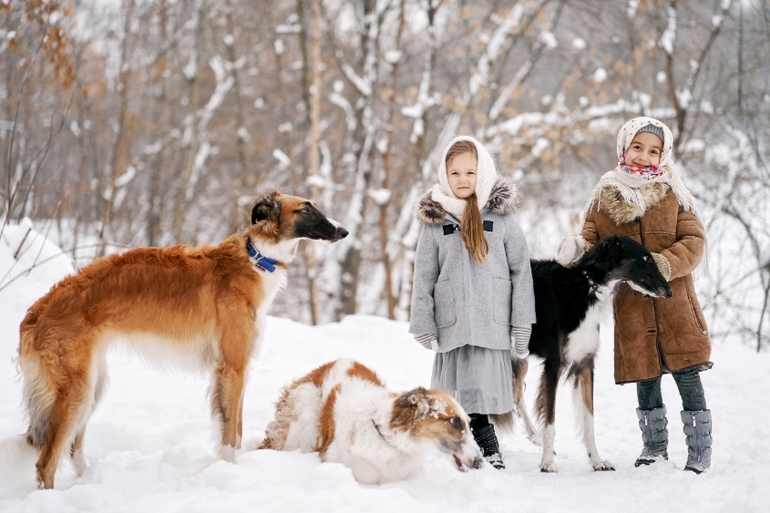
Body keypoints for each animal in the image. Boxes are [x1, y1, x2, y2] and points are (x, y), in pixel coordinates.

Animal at [16, 190, 346, 486]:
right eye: (306, 208)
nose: (344, 231)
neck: (257, 259)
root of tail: (34, 314)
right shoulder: (233, 366)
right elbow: (231, 434)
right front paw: (230, 473)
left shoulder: (237, 368)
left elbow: (235, 427)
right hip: (77, 391)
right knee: (46, 463)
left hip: (93, 384)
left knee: (73, 449)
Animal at [510, 234, 672, 470]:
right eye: (645, 258)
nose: (669, 292)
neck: (587, 287)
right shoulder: (554, 364)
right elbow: (550, 420)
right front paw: (547, 462)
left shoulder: (586, 362)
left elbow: (589, 420)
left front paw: (596, 460)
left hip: (517, 355)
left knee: (515, 396)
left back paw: (534, 436)